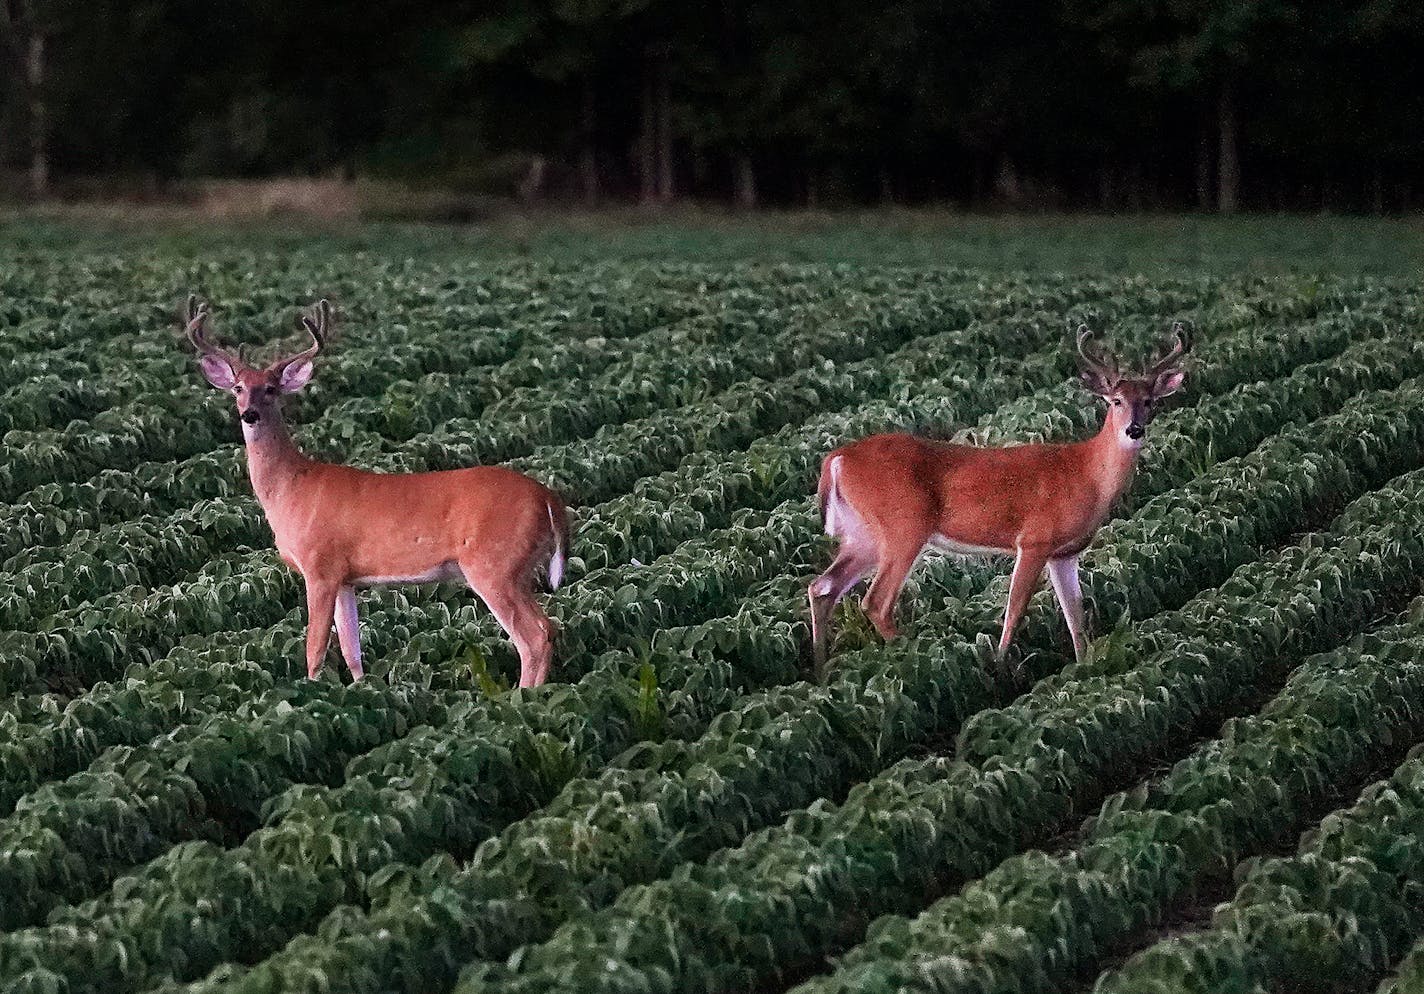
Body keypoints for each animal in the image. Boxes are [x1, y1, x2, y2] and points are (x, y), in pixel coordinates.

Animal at [186, 291, 569, 680]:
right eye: (238, 387)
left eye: (271, 389)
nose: (249, 413)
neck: (291, 488)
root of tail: (549, 498)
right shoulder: (346, 578)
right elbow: (352, 649)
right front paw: (363, 688)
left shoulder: (320, 566)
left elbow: (315, 649)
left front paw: (311, 690)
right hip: (515, 569)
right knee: (548, 628)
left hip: (495, 564)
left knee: (535, 636)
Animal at [814, 323, 1190, 675]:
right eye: (1116, 401)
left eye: (1150, 401)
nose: (1134, 430)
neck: (1086, 473)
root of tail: (837, 459)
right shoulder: (1035, 539)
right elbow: (1015, 609)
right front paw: (1000, 666)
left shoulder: (1065, 553)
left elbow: (1076, 616)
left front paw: (1085, 667)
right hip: (903, 525)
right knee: (874, 602)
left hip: (863, 534)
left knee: (822, 587)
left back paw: (820, 670)